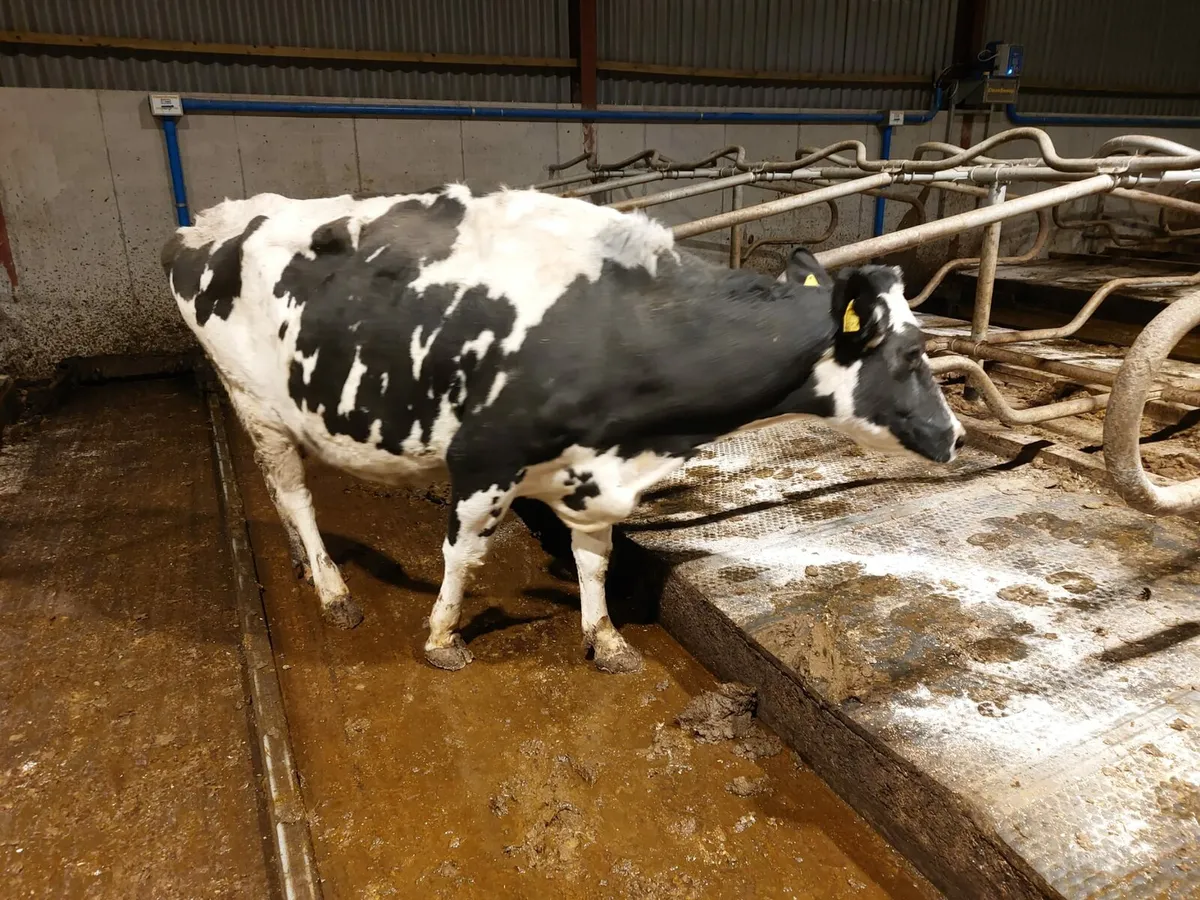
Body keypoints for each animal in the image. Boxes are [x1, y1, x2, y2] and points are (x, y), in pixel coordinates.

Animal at [162, 184, 965, 675]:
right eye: (914, 353)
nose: (955, 434)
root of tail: (205, 221)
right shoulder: (484, 457)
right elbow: (463, 555)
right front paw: (443, 637)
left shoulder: (590, 468)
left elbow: (594, 559)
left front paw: (604, 639)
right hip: (250, 399)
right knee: (293, 493)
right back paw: (331, 591)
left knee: (282, 495)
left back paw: (306, 566)